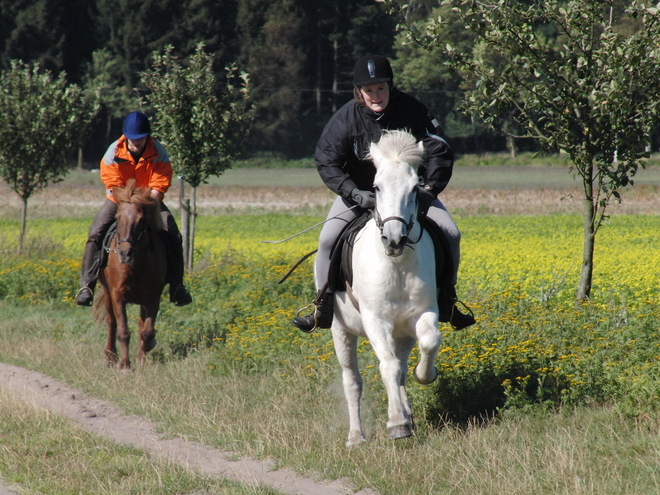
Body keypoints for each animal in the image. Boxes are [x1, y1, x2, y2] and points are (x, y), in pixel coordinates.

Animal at [93, 179, 170, 372]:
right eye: (117, 218)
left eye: (141, 220)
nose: (125, 253)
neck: (136, 265)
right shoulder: (118, 296)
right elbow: (123, 331)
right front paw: (125, 365)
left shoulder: (153, 297)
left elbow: (147, 331)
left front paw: (143, 355)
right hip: (107, 292)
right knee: (112, 322)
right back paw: (110, 356)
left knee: (142, 326)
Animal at [332, 130, 440, 448]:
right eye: (376, 187)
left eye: (415, 188)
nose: (394, 239)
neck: (397, 263)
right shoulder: (375, 320)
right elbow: (387, 367)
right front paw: (396, 425)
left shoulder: (424, 313)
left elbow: (429, 342)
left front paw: (425, 375)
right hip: (340, 330)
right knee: (353, 380)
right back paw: (356, 436)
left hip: (402, 332)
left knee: (401, 368)